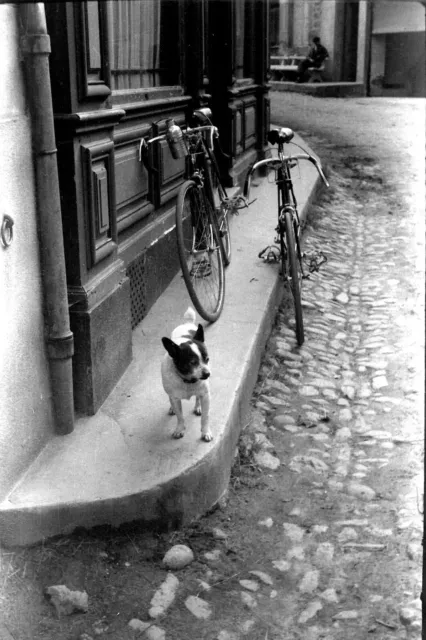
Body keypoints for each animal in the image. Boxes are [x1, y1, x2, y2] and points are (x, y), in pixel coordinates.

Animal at [161, 308, 212, 440]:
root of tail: (187, 324)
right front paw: (179, 429)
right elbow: (180, 416)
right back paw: (172, 408)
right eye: (192, 363)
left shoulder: (206, 396)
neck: (188, 380)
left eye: (207, 359)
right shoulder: (175, 398)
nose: (207, 373)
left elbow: (205, 417)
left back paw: (198, 407)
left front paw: (206, 432)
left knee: (198, 398)